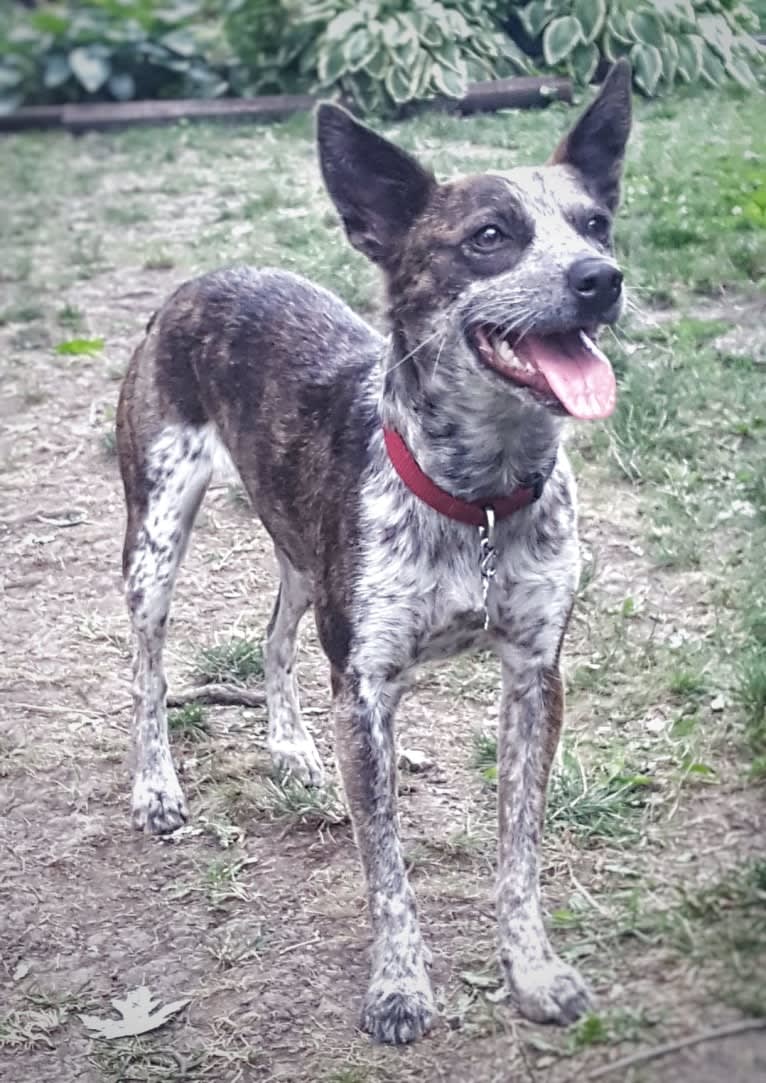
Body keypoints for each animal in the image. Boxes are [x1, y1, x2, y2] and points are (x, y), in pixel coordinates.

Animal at [118, 63, 637, 1044]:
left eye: (595, 223)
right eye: (489, 237)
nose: (603, 278)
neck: (480, 494)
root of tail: (196, 283)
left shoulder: (534, 676)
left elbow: (520, 847)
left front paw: (532, 969)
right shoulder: (363, 691)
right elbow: (386, 867)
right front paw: (398, 988)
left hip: (298, 552)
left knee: (274, 637)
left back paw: (288, 745)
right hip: (155, 537)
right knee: (149, 667)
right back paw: (155, 786)